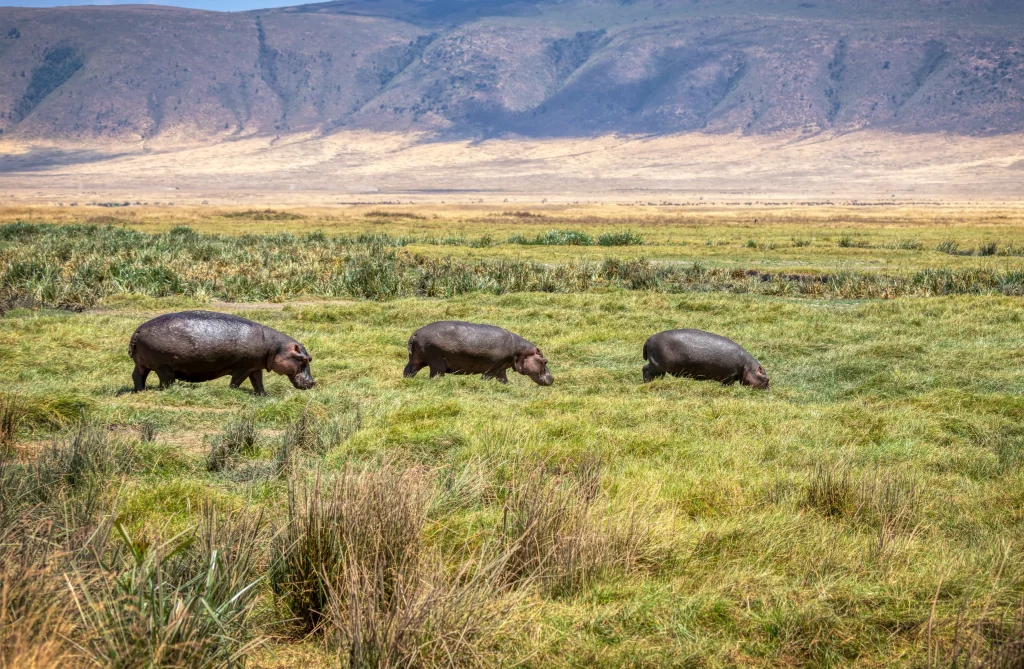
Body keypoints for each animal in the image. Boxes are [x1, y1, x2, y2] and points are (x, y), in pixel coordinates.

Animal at [129, 311, 315, 395]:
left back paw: (140, 391)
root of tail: (137, 331)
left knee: (138, 375)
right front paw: (233, 391)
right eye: (303, 359)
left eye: (310, 358)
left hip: (142, 363)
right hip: (164, 367)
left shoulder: (255, 367)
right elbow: (236, 381)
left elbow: (258, 382)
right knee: (165, 381)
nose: (313, 383)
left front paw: (263, 395)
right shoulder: (244, 367)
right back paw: (168, 390)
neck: (276, 347)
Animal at [404, 321, 553, 386]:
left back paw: (407, 381)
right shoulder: (493, 368)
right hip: (436, 363)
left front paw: (508, 387)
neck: (520, 351)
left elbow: (504, 380)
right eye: (545, 361)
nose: (553, 378)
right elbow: (486, 378)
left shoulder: (501, 368)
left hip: (416, 360)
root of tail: (415, 333)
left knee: (408, 371)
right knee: (435, 375)